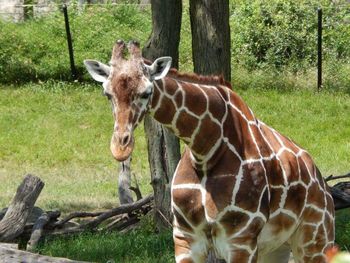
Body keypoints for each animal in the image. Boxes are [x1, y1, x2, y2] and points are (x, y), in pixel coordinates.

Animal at [84, 40, 334, 262]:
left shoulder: (241, 239)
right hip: (275, 247)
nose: (120, 147)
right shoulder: (185, 238)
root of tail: (322, 181)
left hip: (315, 238)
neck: (205, 152)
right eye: (107, 94)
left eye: (146, 92)